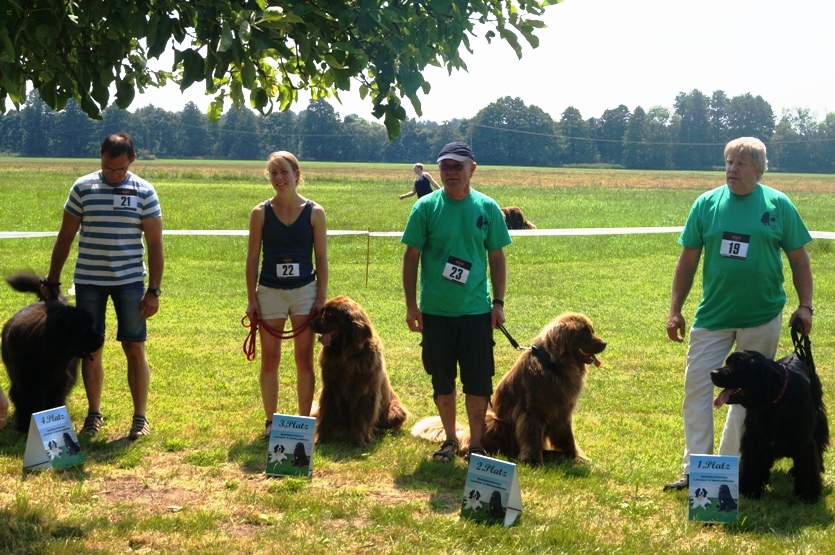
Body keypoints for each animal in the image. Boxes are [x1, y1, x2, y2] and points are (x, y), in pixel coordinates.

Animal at [1, 274, 103, 434]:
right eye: (85, 328)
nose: (101, 338)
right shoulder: (24, 381)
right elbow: (25, 402)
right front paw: (25, 425)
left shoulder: (59, 380)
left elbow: (53, 400)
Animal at [310, 296, 408, 448]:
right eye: (322, 311)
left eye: (329, 315)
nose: (310, 323)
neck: (346, 355)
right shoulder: (330, 387)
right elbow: (327, 413)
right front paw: (322, 437)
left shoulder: (366, 390)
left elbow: (362, 415)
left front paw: (358, 439)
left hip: (396, 411)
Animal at [414, 312, 604, 464]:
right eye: (584, 333)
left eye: (592, 330)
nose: (605, 343)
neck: (554, 365)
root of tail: (463, 434)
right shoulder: (532, 411)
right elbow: (532, 437)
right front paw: (533, 461)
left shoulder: (563, 411)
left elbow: (568, 437)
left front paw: (577, 457)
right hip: (493, 421)